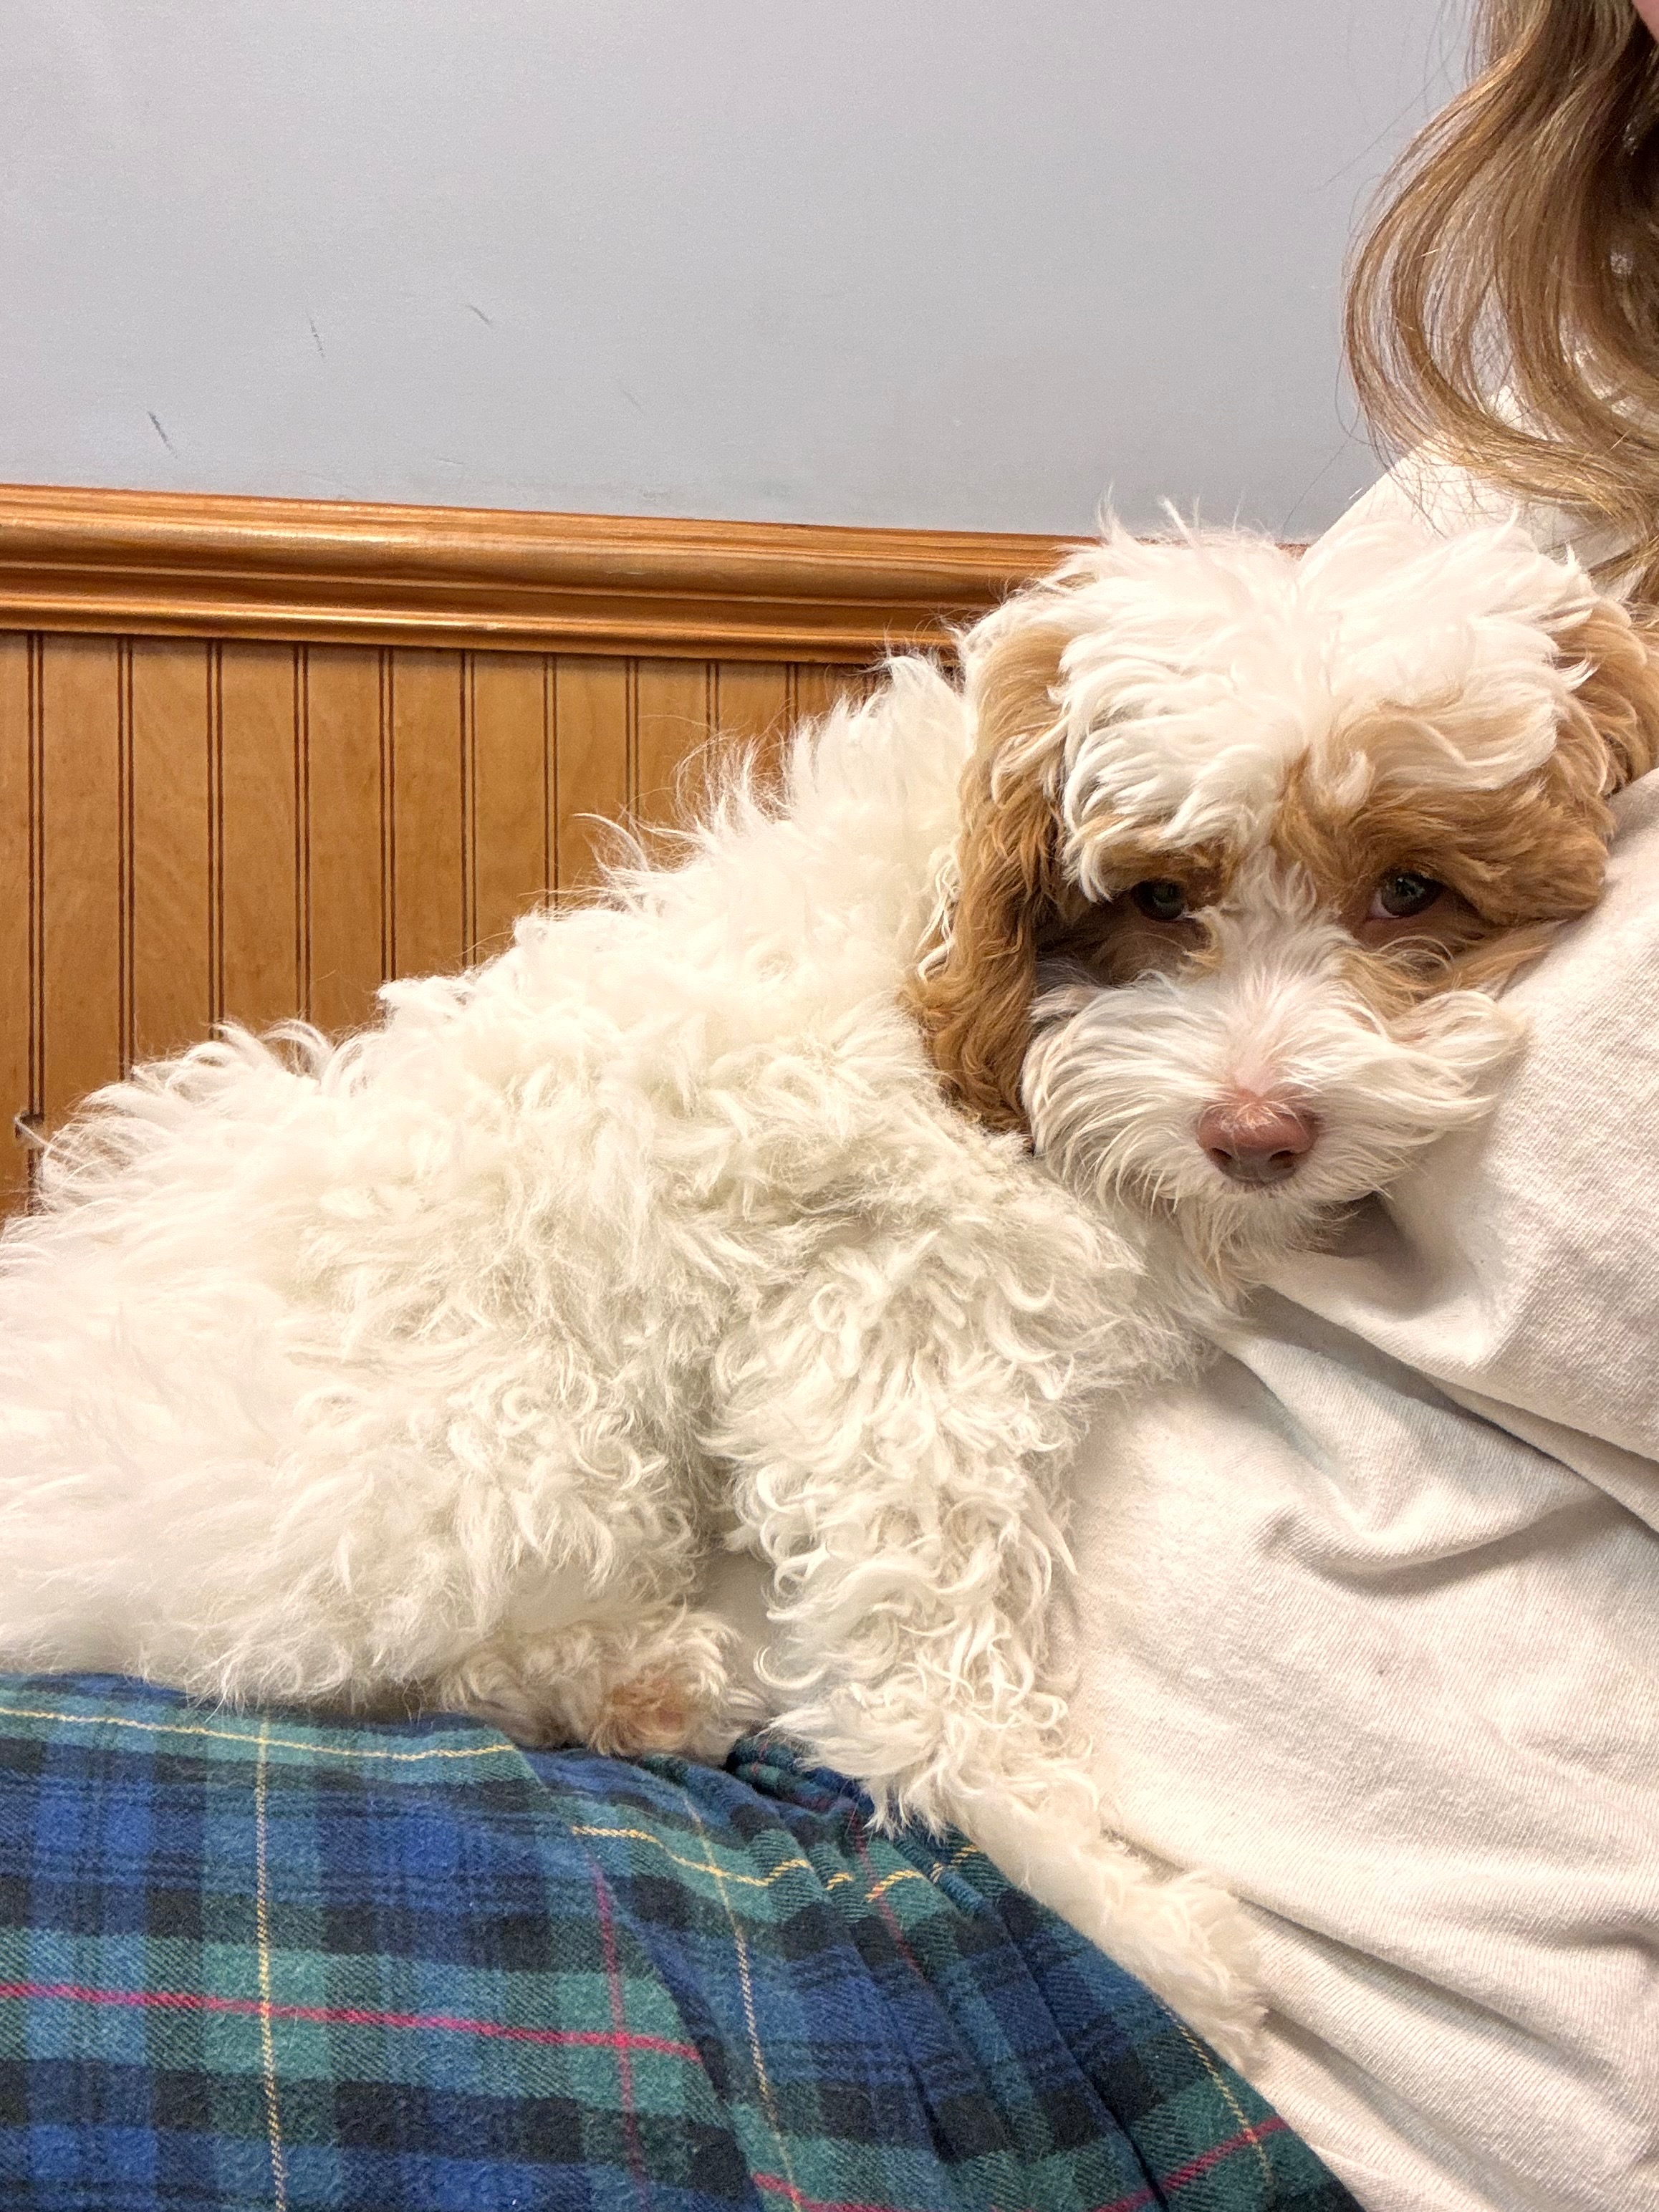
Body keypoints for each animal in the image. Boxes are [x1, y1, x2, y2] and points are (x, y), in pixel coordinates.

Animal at [0, 512, 1649, 2058]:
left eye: (1411, 889)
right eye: (1160, 896)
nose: (1255, 1133)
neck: (975, 987)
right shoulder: (893, 1325)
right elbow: (926, 1660)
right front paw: (1123, 1915)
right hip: (512, 1438)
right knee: (308, 1647)